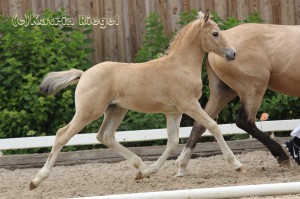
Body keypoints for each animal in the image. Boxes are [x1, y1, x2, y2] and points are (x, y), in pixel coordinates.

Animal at [29, 11, 244, 190]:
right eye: (215, 33)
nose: (232, 53)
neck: (180, 66)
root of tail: (83, 75)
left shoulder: (173, 112)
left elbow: (172, 142)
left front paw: (148, 172)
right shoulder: (189, 105)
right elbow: (212, 126)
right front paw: (236, 164)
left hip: (115, 110)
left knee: (105, 136)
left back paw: (140, 166)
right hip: (88, 112)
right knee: (62, 135)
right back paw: (36, 180)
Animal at [176, 22, 300, 176]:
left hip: (223, 92)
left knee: (201, 124)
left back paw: (182, 165)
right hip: (253, 89)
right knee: (245, 122)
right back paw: (282, 156)